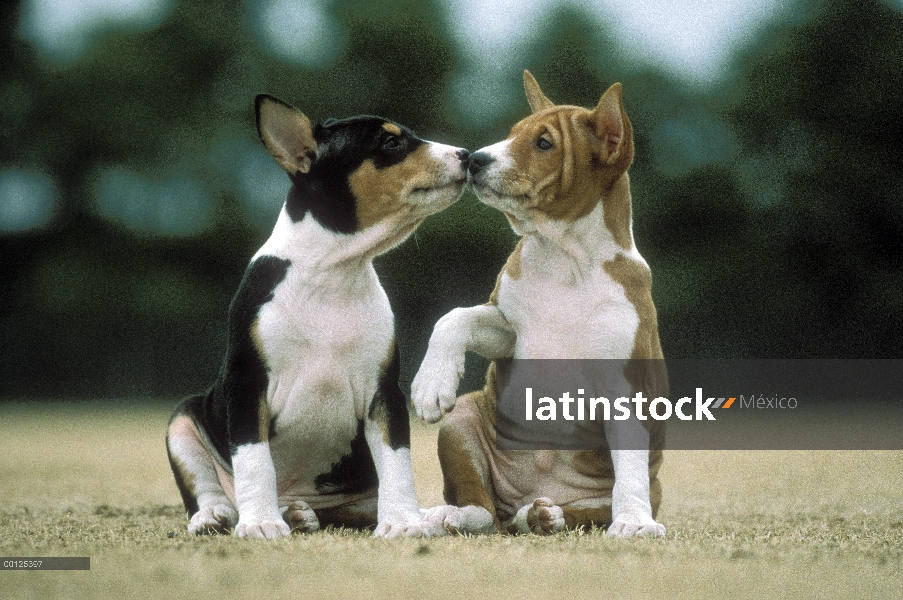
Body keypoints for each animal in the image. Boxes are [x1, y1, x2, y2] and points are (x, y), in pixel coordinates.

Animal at [165, 95, 470, 540]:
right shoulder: (246, 386)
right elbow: (254, 462)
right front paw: (260, 523)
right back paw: (221, 515)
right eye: (390, 143)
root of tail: (302, 498)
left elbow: (397, 463)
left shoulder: (384, 393)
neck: (331, 273)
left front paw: (403, 522)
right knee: (207, 487)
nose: (466, 155)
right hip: (183, 423)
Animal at [414, 71, 668, 540]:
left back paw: (547, 516)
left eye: (544, 143)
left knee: (585, 513)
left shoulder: (626, 387)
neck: (564, 258)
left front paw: (635, 521)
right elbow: (454, 317)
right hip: (462, 421)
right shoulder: (507, 330)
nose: (474, 159)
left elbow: (629, 471)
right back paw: (451, 515)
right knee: (482, 510)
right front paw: (430, 384)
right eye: (513, 134)